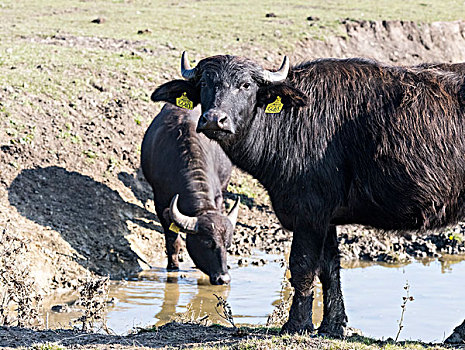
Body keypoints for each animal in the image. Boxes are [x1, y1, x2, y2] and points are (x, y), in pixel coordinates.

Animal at [140, 103, 239, 284]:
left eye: (227, 245)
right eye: (207, 243)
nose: (223, 279)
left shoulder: (218, 196)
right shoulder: (161, 202)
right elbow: (173, 241)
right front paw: (173, 266)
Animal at [150, 52, 465, 336]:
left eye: (246, 85)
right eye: (205, 82)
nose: (215, 120)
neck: (289, 122)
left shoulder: (308, 211)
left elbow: (301, 265)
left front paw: (296, 324)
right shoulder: (326, 218)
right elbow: (329, 268)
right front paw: (333, 326)